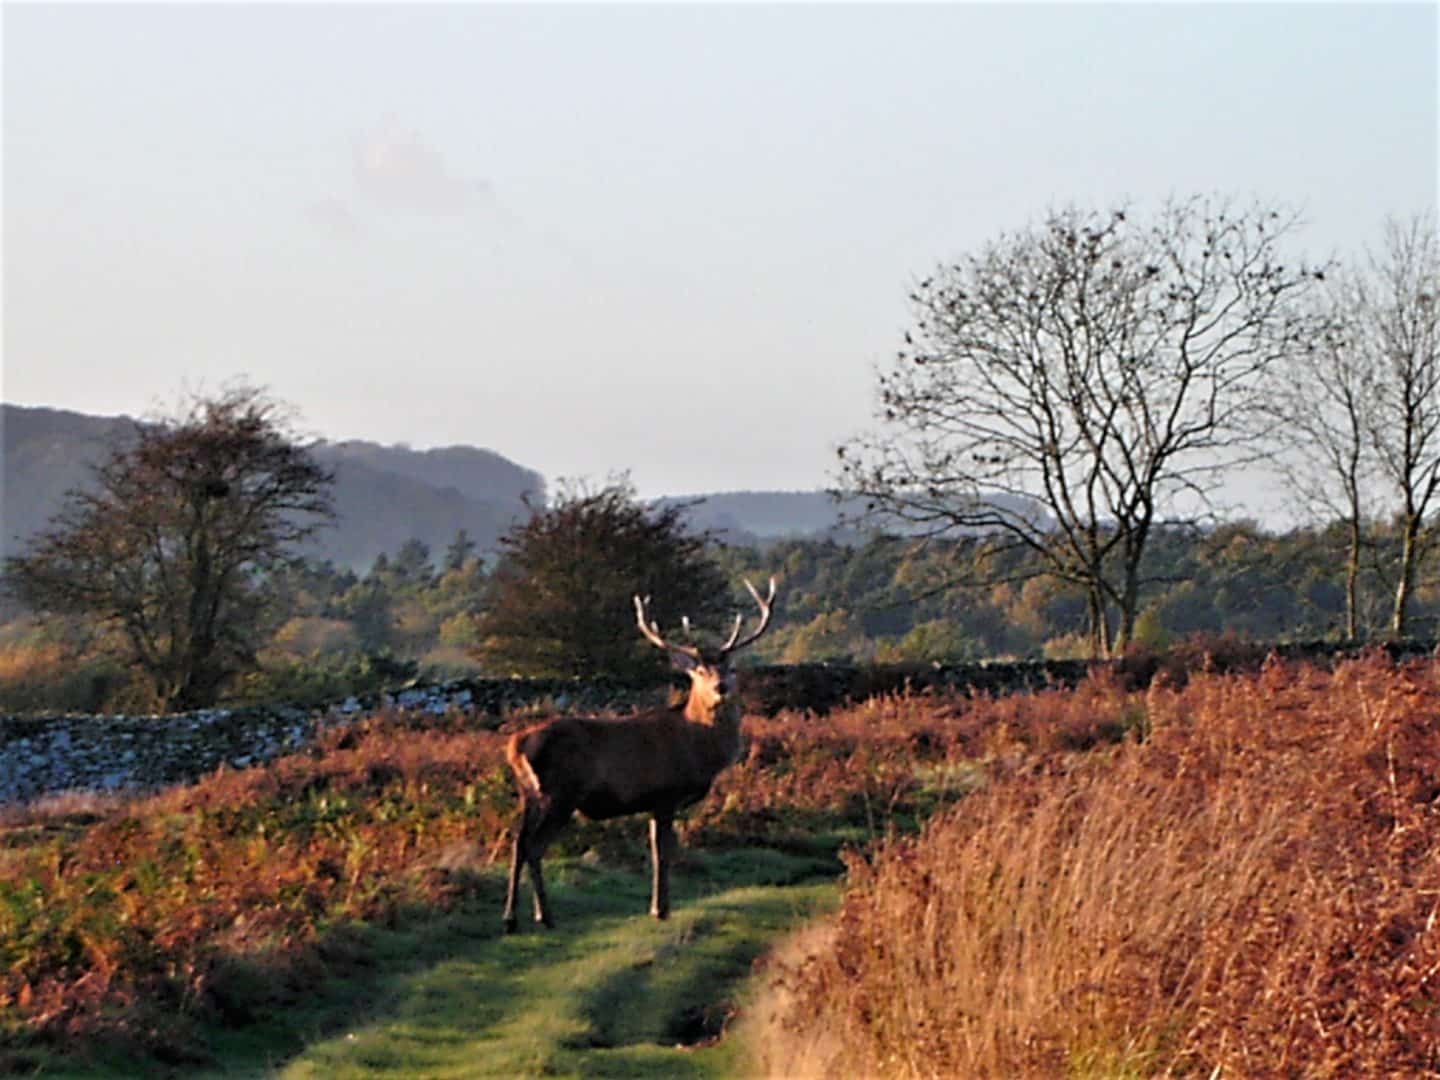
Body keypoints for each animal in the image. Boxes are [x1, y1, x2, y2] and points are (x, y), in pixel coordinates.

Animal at [501, 576, 776, 933]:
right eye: (699, 672)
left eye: (729, 668)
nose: (721, 688)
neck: (697, 748)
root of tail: (516, 744)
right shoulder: (665, 794)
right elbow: (663, 852)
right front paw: (661, 909)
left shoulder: (653, 803)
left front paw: (657, 906)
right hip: (559, 794)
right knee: (534, 846)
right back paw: (544, 916)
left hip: (528, 795)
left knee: (518, 842)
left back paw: (511, 918)